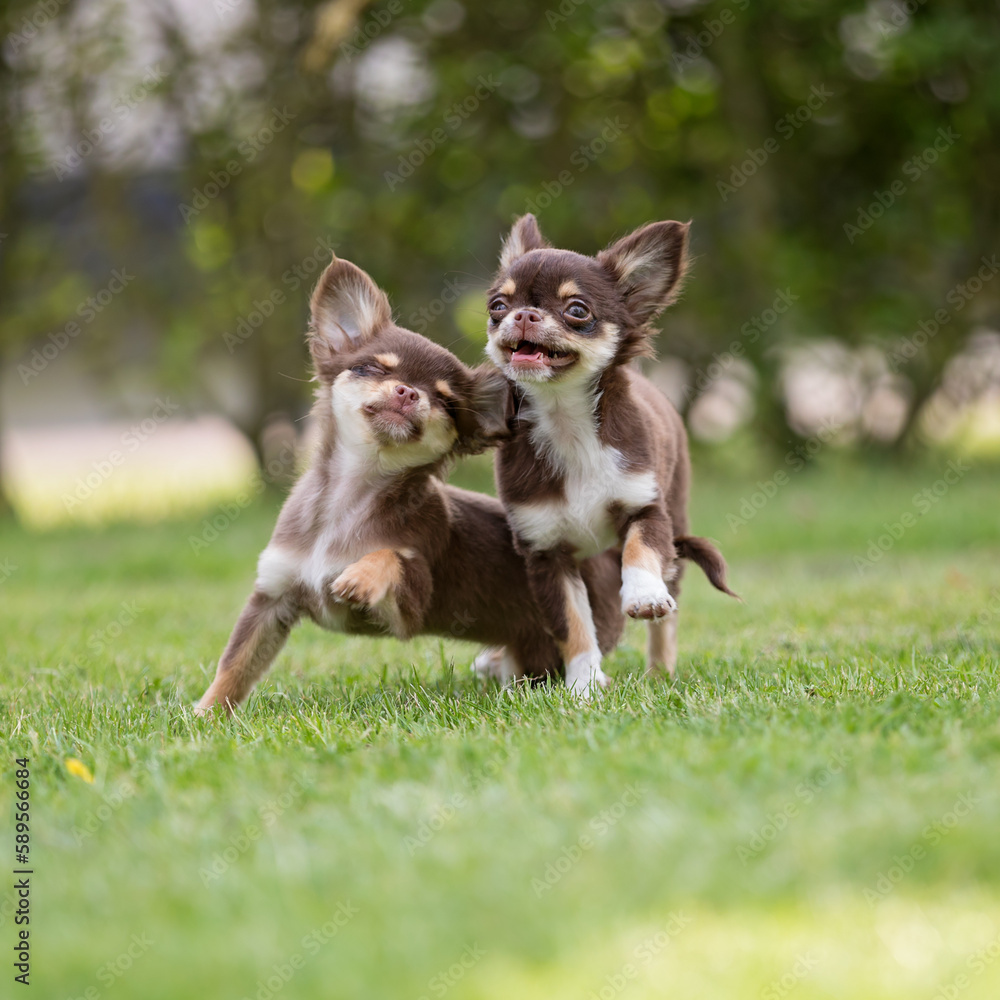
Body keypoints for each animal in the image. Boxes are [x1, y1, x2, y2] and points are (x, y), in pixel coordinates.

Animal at [193, 254, 624, 716]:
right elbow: (236, 663)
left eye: (446, 402)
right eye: (372, 368)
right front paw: (206, 714)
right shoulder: (271, 598)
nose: (407, 392)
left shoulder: (407, 606)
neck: (353, 495)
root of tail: (600, 555)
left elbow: (391, 558)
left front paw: (360, 576)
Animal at [484, 215, 736, 696]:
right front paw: (583, 685)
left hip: (675, 519)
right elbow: (574, 625)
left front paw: (643, 594)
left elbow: (640, 551)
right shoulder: (546, 552)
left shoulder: (647, 508)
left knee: (669, 616)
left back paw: (660, 671)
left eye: (578, 310)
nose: (523, 314)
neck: (567, 421)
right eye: (498, 306)